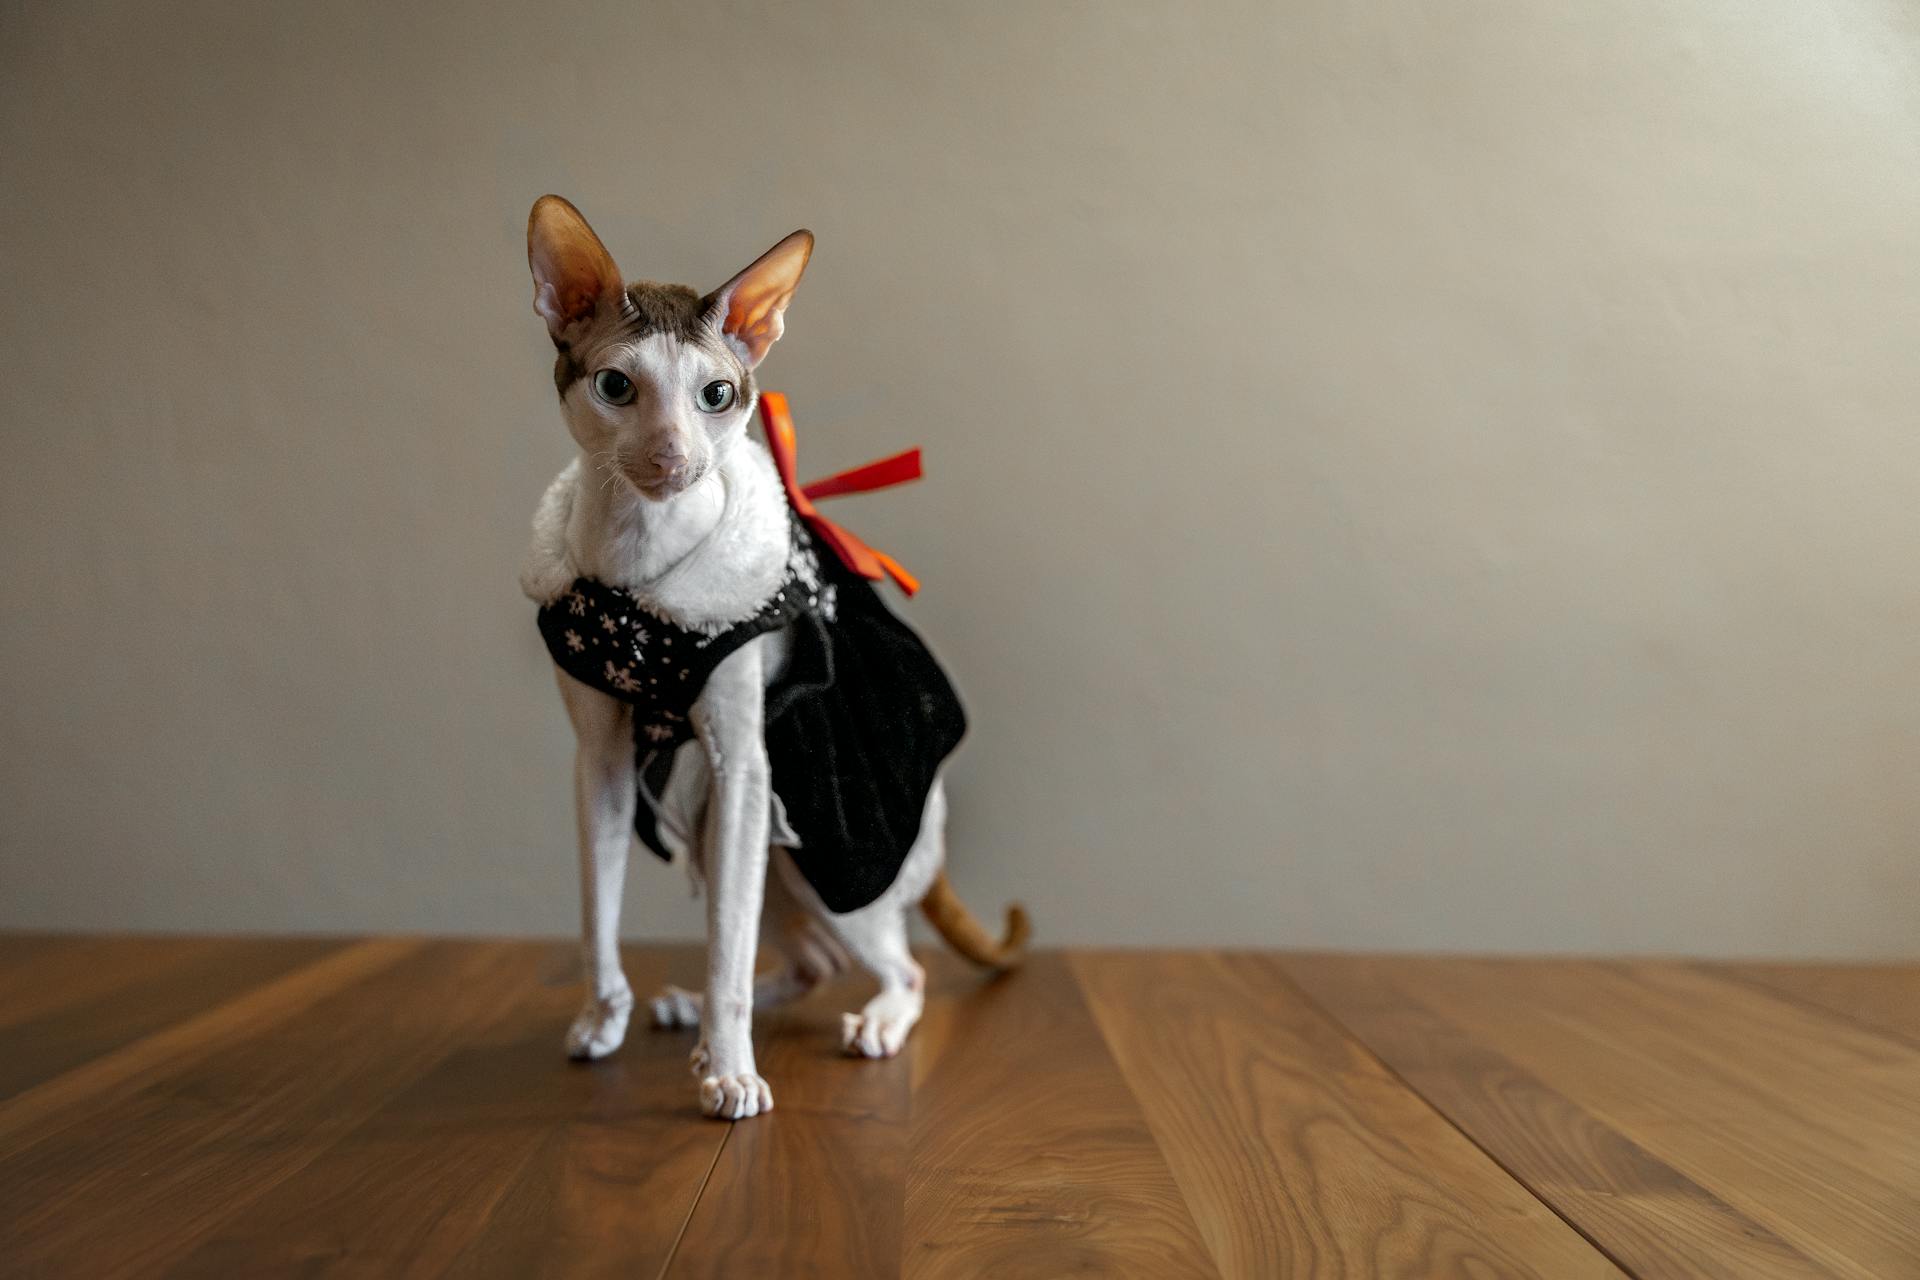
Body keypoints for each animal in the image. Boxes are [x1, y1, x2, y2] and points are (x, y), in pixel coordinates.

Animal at [510, 192, 1021, 1120]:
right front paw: (604, 1019)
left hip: (818, 846)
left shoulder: (744, 762)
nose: (673, 456)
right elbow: (600, 907)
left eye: (717, 395)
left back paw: (870, 1022)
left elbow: (727, 948)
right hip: (746, 838)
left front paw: (732, 1071)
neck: (641, 581)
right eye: (615, 386)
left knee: (900, 965)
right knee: (803, 955)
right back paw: (691, 1012)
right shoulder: (600, 760)